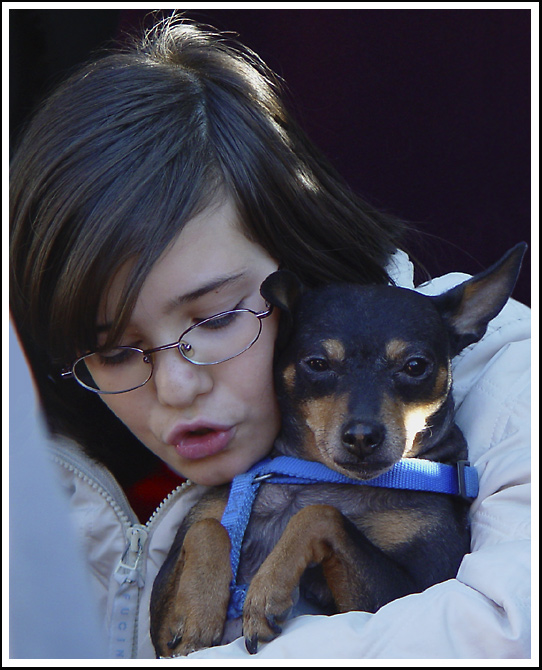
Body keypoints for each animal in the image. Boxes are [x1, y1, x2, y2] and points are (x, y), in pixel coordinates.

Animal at [149, 244, 528, 660]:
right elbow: (207, 527)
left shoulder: (410, 593)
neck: (318, 476)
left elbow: (318, 514)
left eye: (416, 366)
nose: (362, 436)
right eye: (317, 364)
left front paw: (267, 589)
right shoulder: (160, 628)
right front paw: (197, 613)